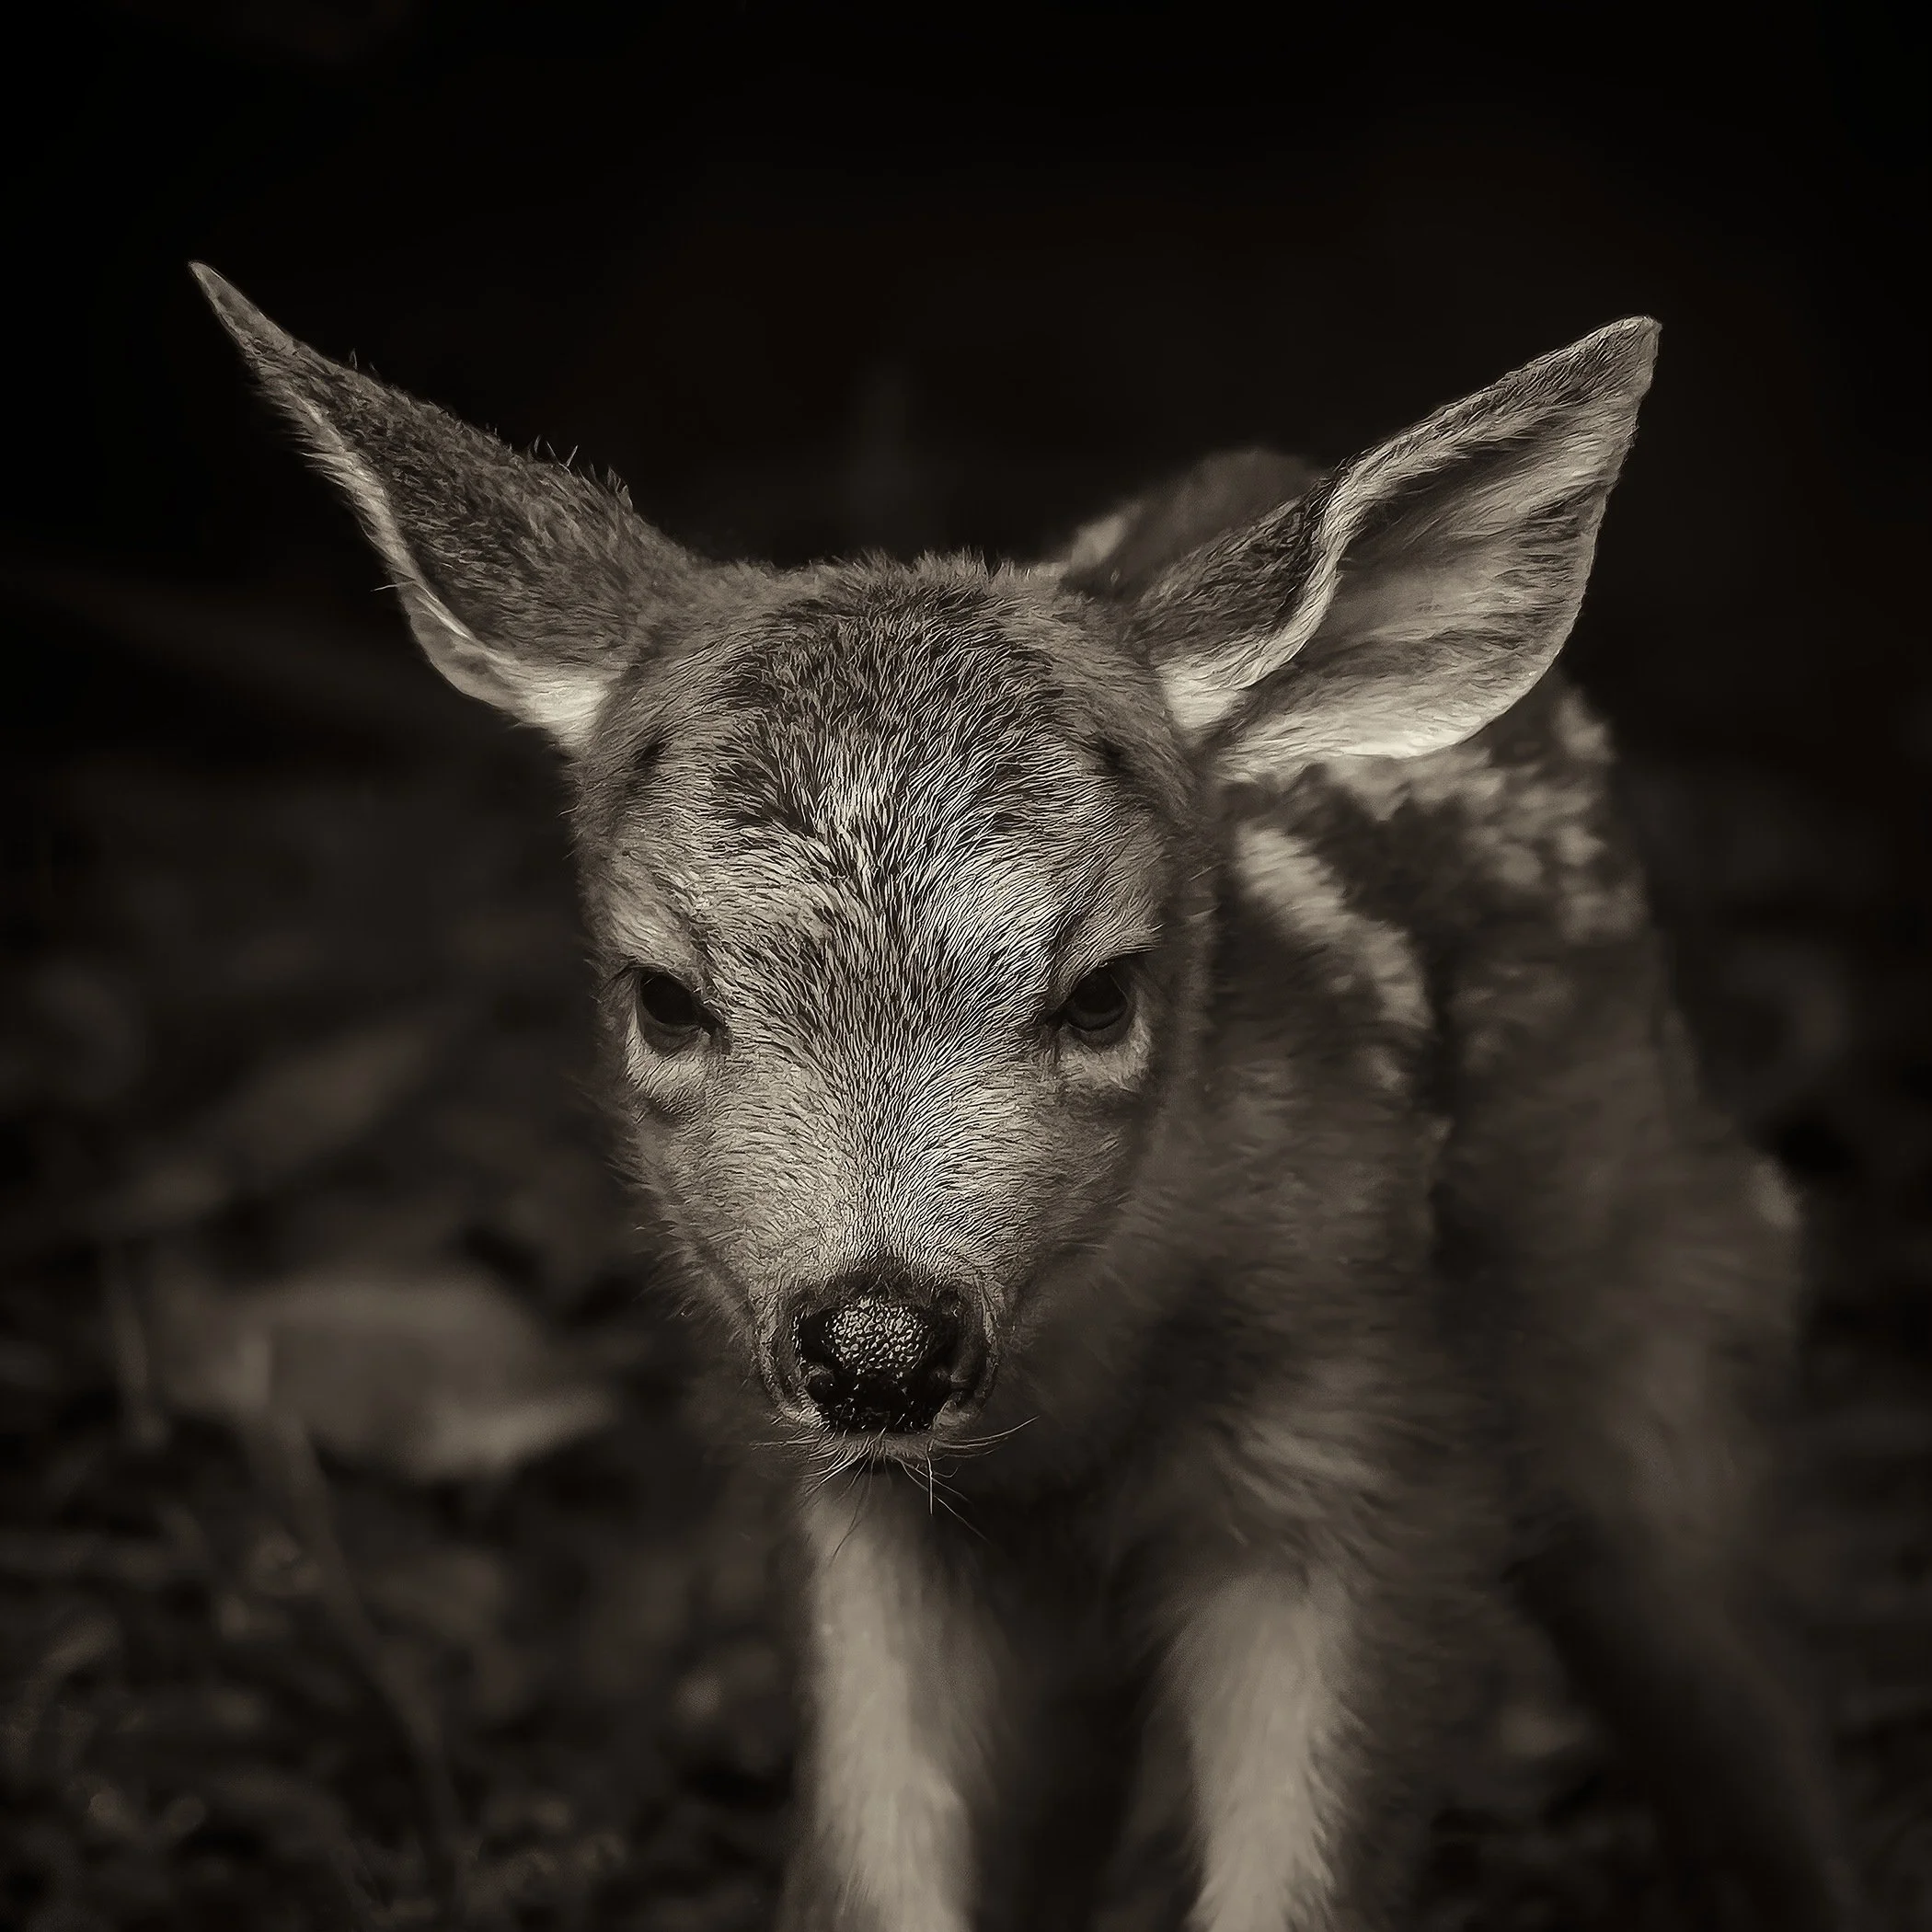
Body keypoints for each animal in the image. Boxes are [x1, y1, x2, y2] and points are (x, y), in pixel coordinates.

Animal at [192, 264, 1865, 1932]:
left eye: (1103, 992)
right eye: (664, 998)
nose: (876, 1344)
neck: (1072, 1440)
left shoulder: (1374, 1455)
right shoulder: (861, 1514)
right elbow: (871, 1871)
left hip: (1669, 1329)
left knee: (1756, 1712)